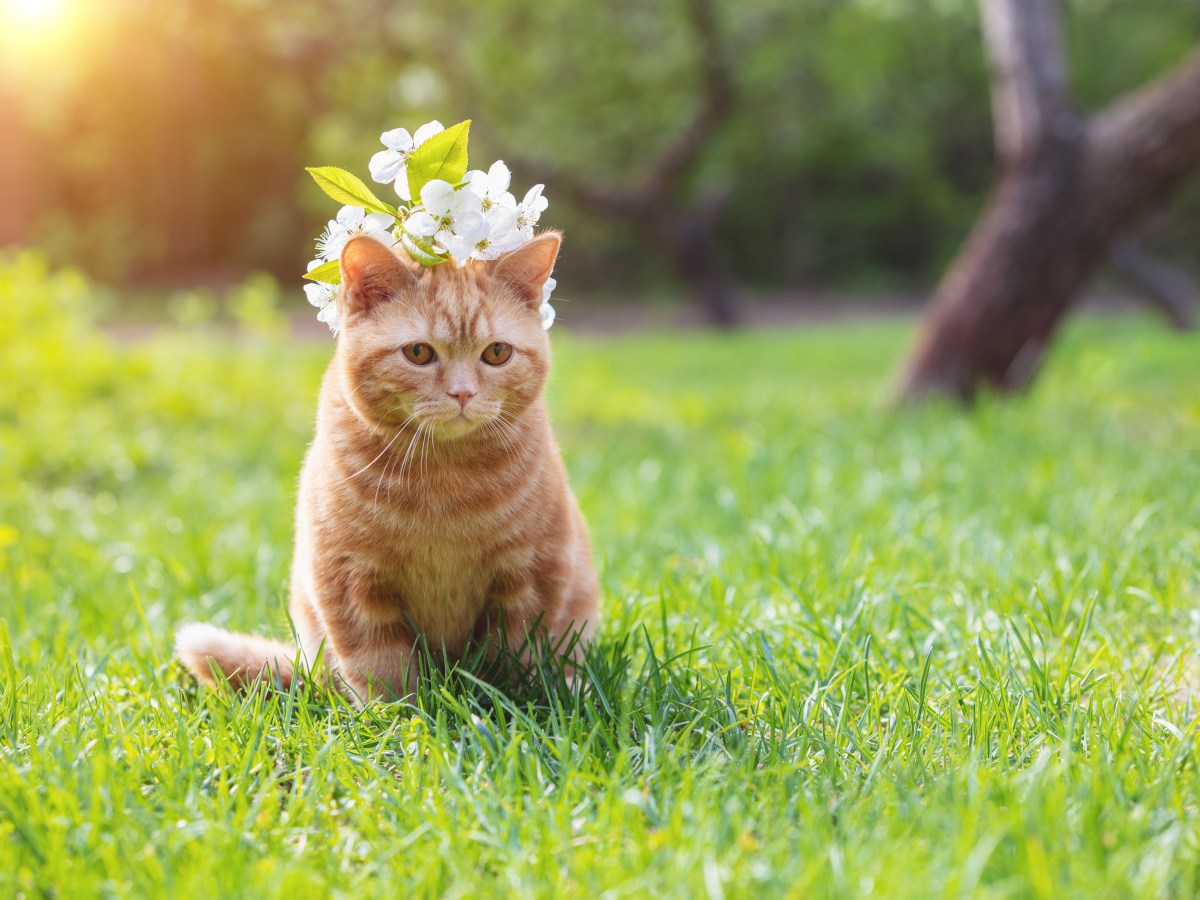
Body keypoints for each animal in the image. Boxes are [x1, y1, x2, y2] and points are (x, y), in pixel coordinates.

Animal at [175, 229, 600, 700]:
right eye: (418, 353)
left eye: (496, 353)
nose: (463, 393)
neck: (446, 482)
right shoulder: (350, 580)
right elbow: (382, 668)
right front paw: (400, 715)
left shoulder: (533, 575)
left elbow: (516, 660)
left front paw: (514, 704)